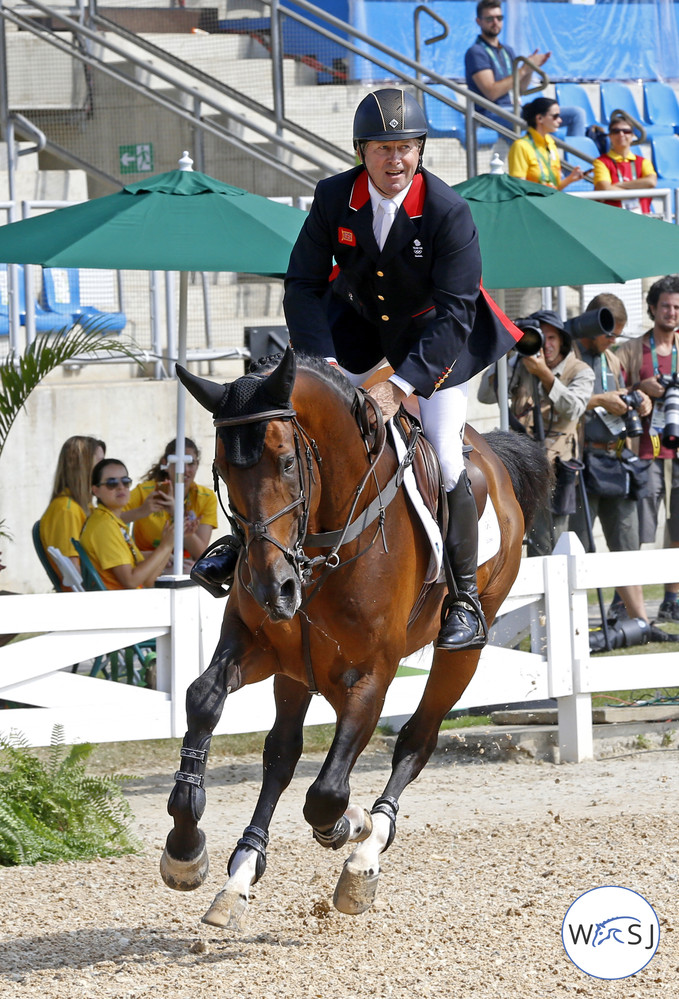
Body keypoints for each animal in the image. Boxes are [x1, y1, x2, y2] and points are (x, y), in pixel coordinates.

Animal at [161, 348, 552, 924]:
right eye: (223, 470)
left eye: (286, 462)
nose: (272, 588)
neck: (319, 544)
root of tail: (494, 460)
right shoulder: (256, 645)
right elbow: (203, 698)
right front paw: (185, 848)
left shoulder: (372, 675)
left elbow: (326, 794)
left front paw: (351, 826)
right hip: (295, 669)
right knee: (281, 754)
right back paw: (240, 874)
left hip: (460, 654)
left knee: (415, 741)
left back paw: (365, 852)